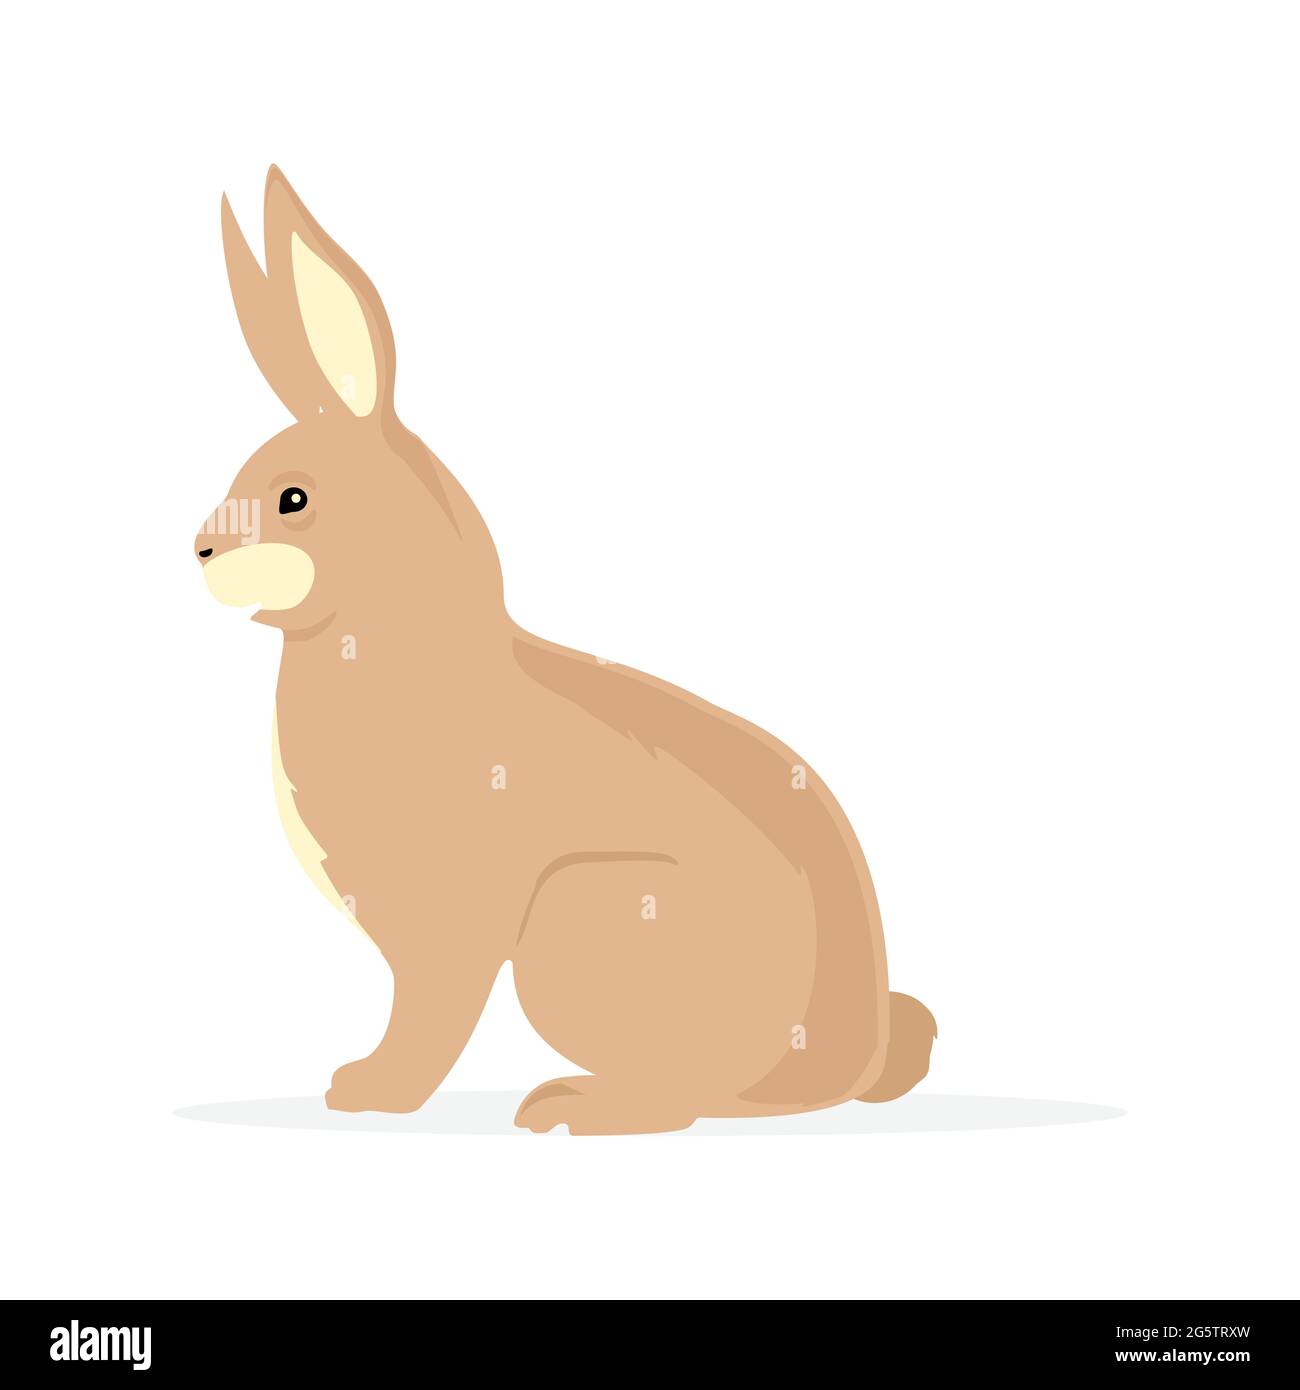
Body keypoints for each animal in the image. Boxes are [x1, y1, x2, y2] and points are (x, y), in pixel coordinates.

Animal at [197, 167, 936, 1134]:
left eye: (293, 498)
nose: (200, 551)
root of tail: (850, 1061)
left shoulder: (449, 925)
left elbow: (430, 1015)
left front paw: (373, 1094)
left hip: (585, 921)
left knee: (684, 1095)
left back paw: (574, 1107)